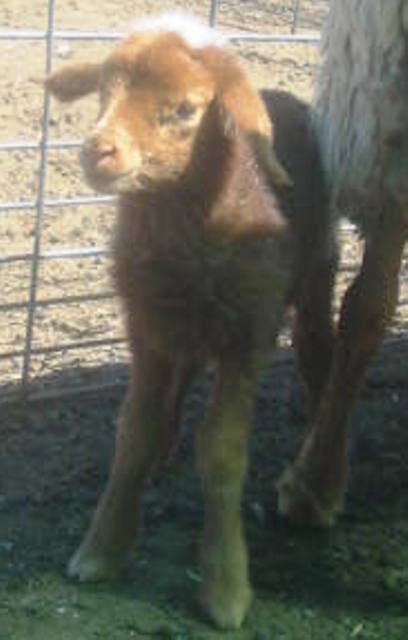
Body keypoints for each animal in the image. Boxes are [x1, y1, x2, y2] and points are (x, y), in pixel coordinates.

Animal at [47, 15, 334, 632]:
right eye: (103, 91)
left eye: (184, 109)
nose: (98, 152)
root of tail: (279, 94)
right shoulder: (146, 328)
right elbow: (133, 433)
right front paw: (103, 547)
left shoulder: (248, 335)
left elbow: (223, 452)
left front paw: (225, 588)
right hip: (178, 319)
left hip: (316, 268)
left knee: (317, 341)